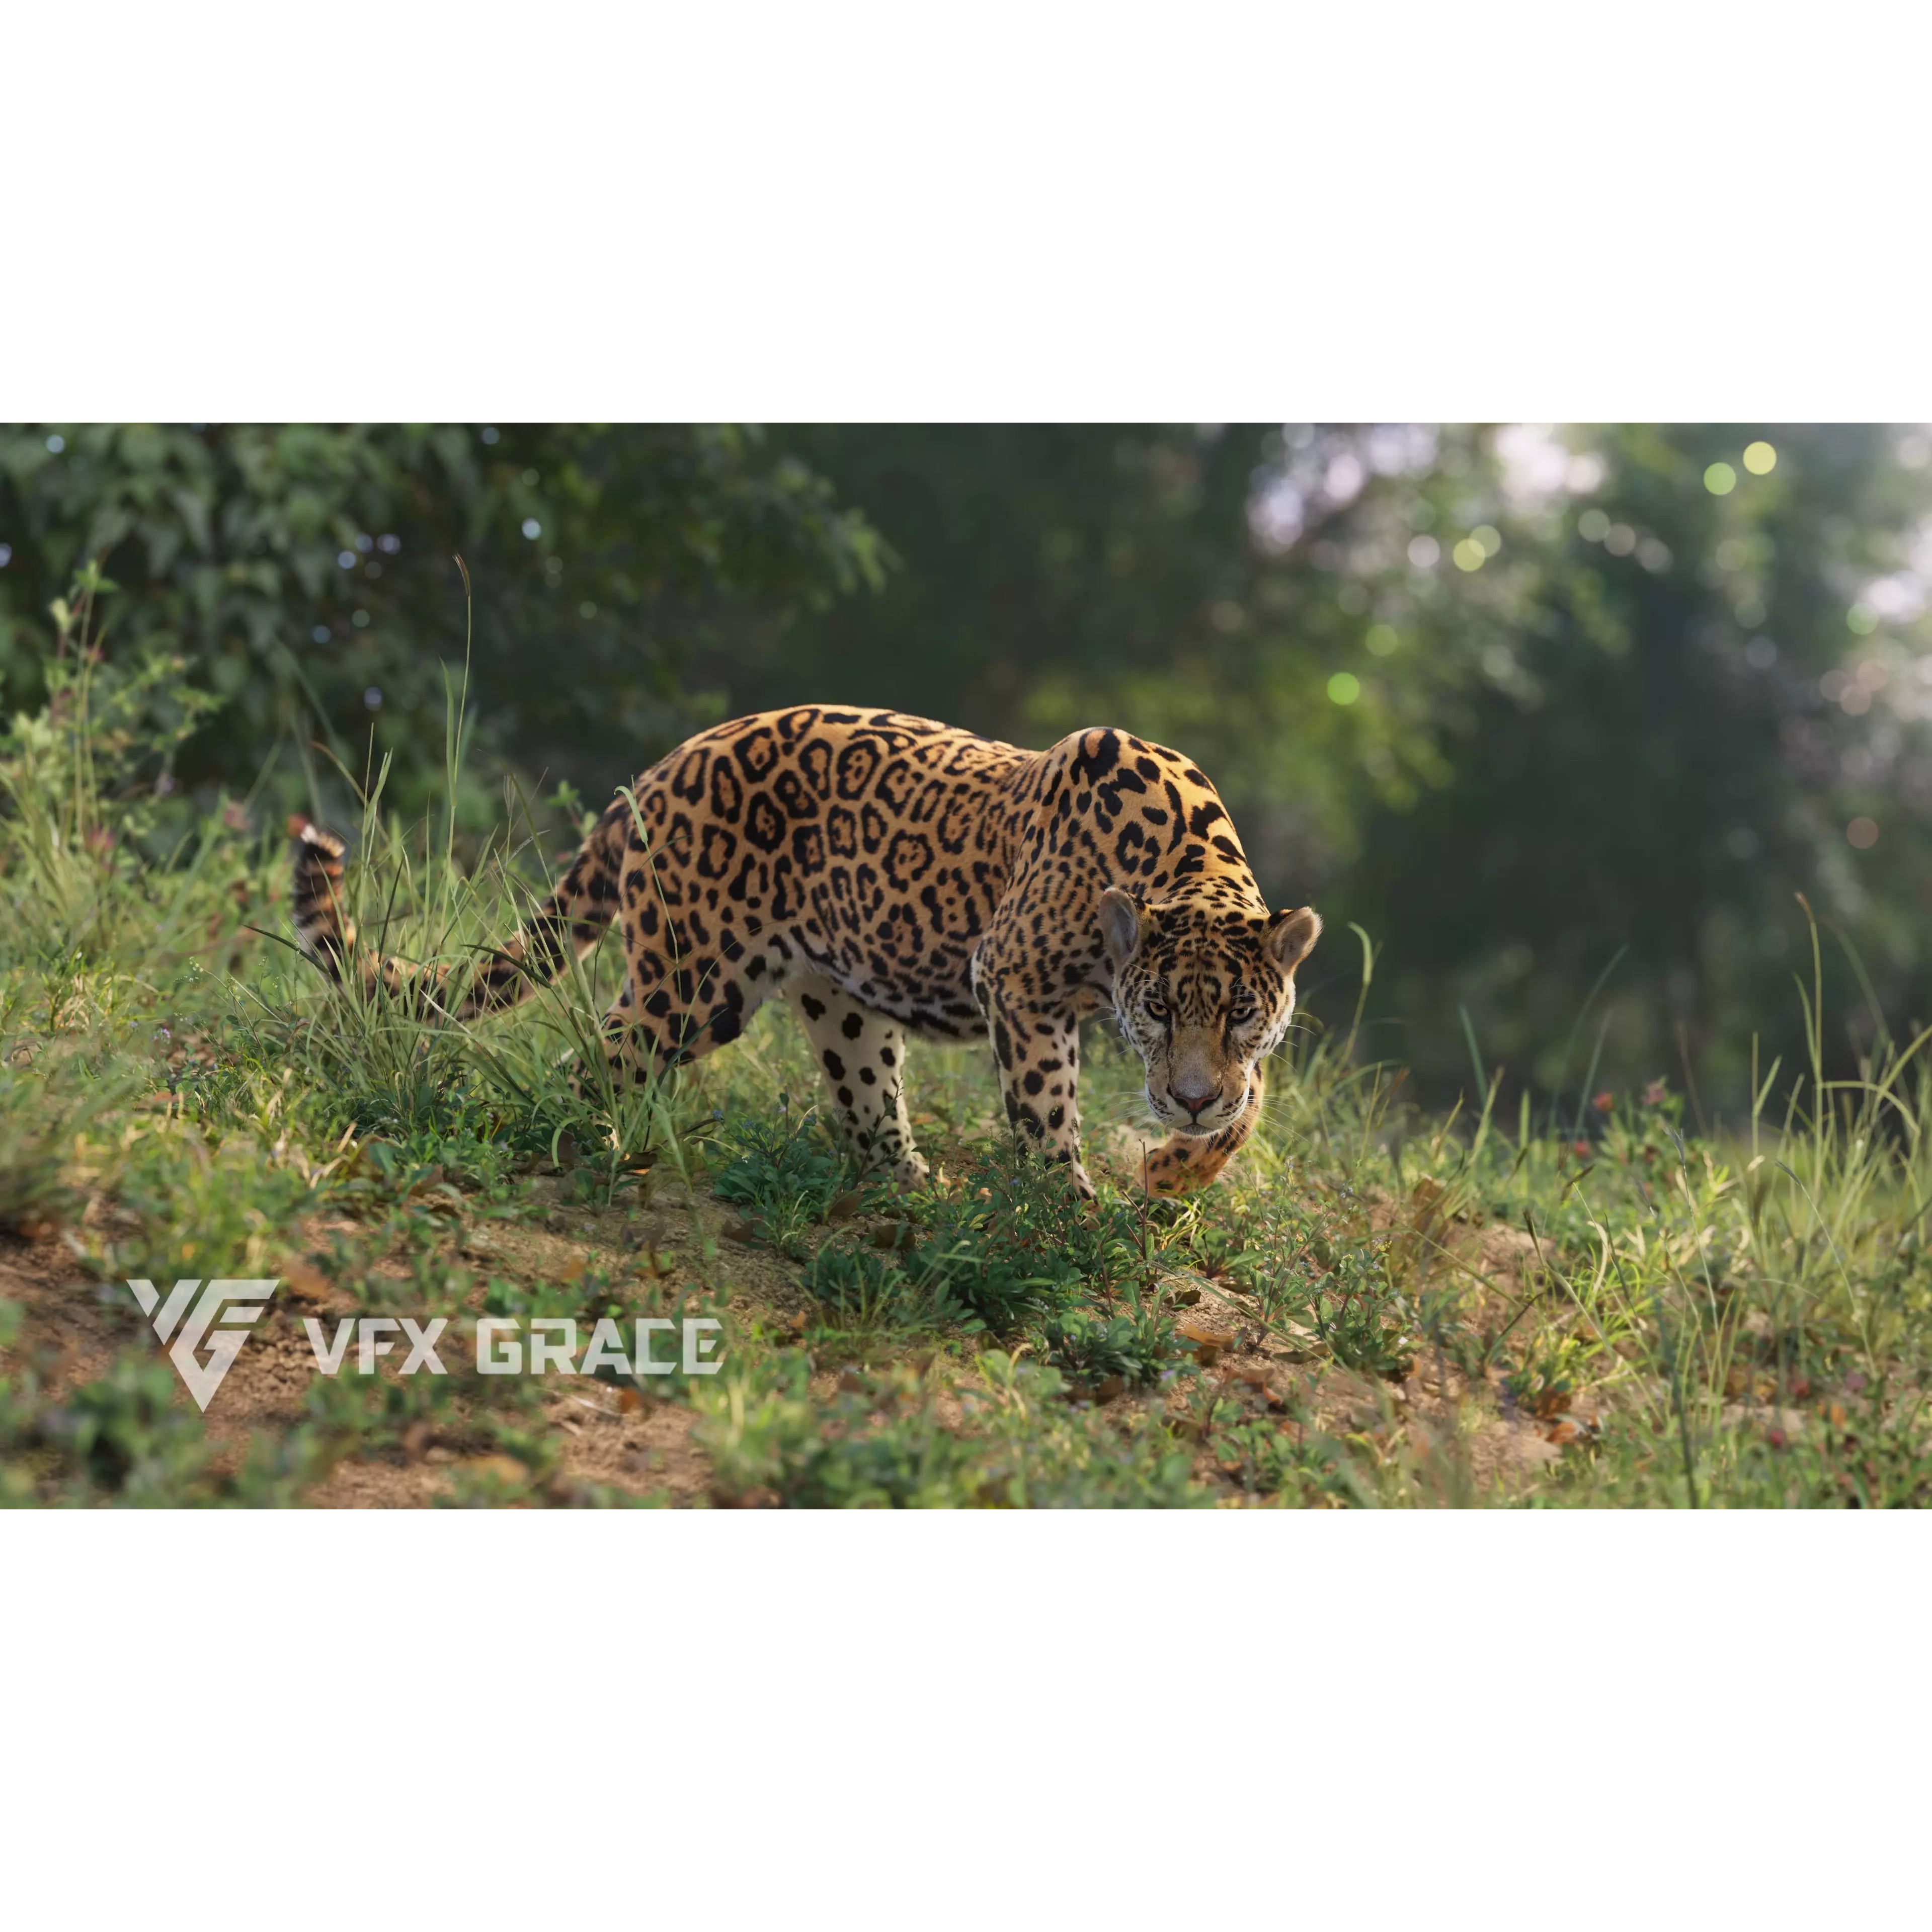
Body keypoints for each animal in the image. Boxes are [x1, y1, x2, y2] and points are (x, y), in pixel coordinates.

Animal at [291, 707, 1321, 1198]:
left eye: (1240, 1013)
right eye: (1157, 1010)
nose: (1187, 1099)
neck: (1185, 858)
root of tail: (657, 772)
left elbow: (1251, 1107)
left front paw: (1176, 1170)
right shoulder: (1014, 978)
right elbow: (1045, 1108)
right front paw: (1067, 1212)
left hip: (839, 1001)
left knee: (868, 1109)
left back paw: (915, 1193)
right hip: (692, 985)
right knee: (595, 1061)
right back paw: (593, 1147)